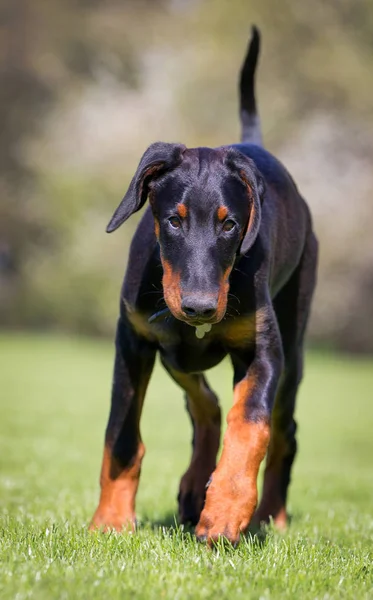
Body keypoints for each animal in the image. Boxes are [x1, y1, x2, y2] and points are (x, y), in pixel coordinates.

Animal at [89, 27, 316, 544]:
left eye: (230, 224)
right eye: (173, 220)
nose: (198, 308)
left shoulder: (263, 351)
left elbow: (250, 425)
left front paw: (227, 510)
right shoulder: (133, 338)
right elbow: (121, 434)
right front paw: (111, 520)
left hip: (293, 345)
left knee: (284, 430)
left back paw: (269, 514)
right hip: (171, 349)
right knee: (205, 405)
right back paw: (195, 486)